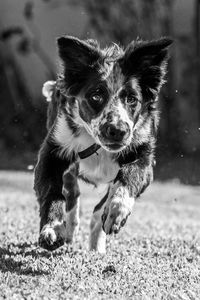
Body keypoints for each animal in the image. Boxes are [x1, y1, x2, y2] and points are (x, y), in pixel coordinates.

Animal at [34, 35, 172, 253]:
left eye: (132, 99)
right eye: (96, 96)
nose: (117, 131)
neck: (97, 145)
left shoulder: (144, 157)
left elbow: (125, 181)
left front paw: (116, 213)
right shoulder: (53, 151)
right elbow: (52, 192)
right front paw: (52, 229)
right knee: (71, 189)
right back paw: (69, 226)